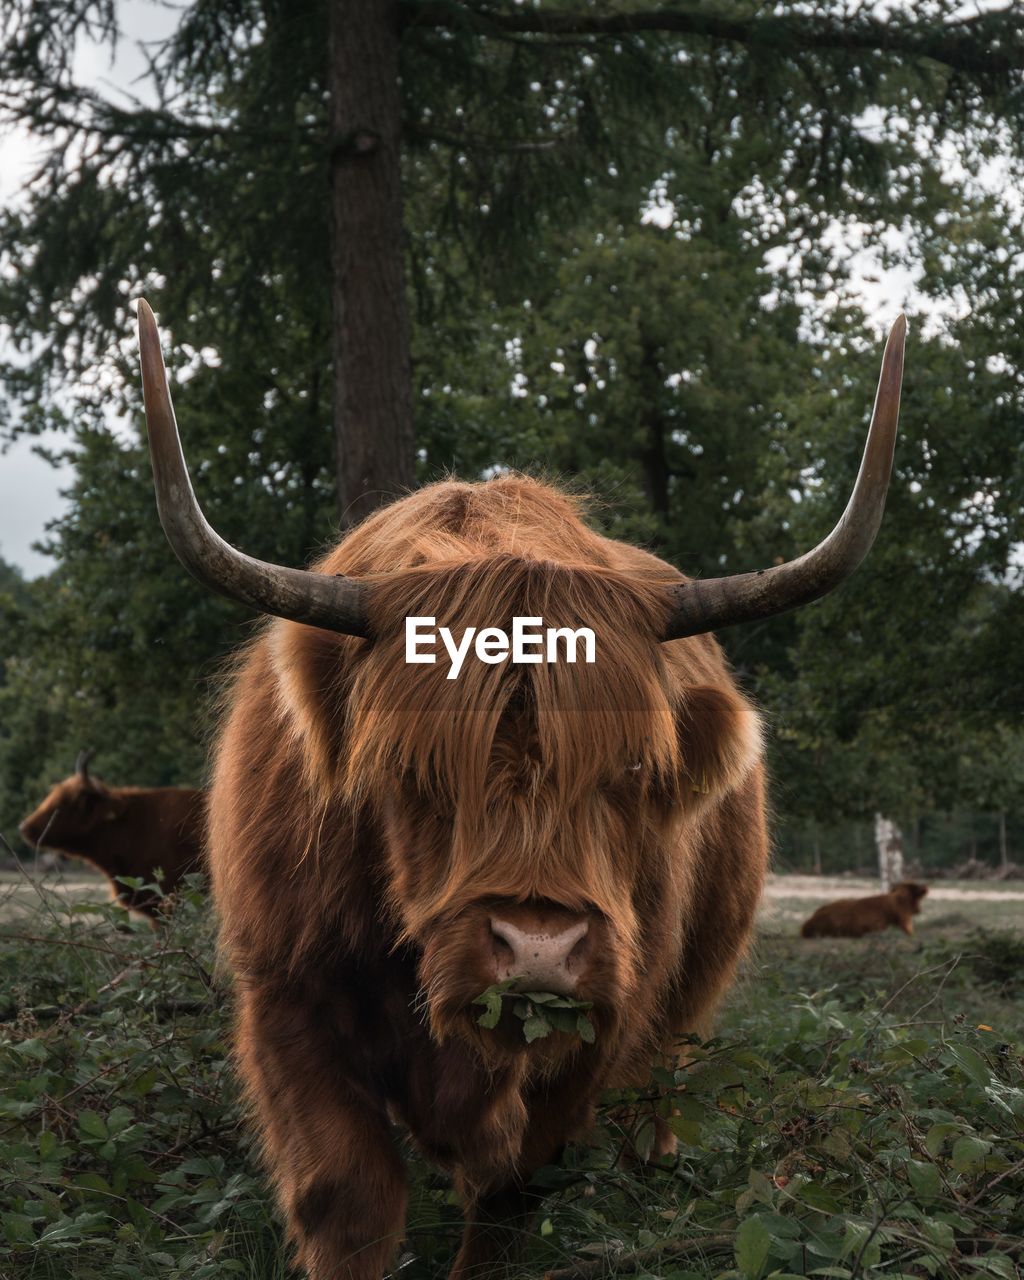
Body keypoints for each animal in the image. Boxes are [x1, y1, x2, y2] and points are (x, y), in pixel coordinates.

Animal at [133, 294, 906, 1274]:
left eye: (632, 768)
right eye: (409, 769)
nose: (537, 947)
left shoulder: (605, 1023)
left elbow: (511, 1193)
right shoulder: (286, 994)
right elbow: (348, 1196)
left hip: (682, 1009)